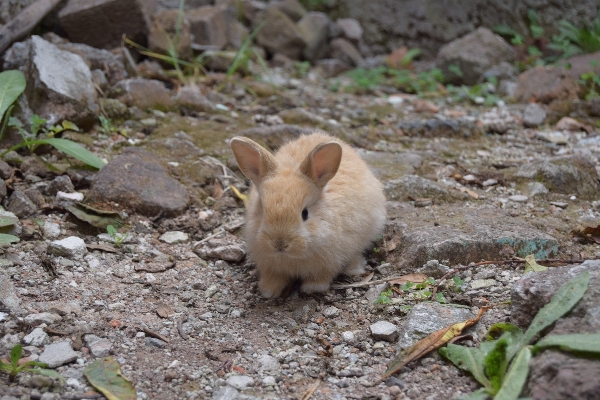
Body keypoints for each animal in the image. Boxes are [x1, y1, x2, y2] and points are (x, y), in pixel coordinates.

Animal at [227, 133, 386, 298]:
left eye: (305, 214)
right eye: (263, 211)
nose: (280, 243)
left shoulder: (330, 262)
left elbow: (322, 275)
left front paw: (313, 288)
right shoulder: (270, 266)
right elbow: (274, 277)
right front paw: (268, 291)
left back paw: (354, 269)